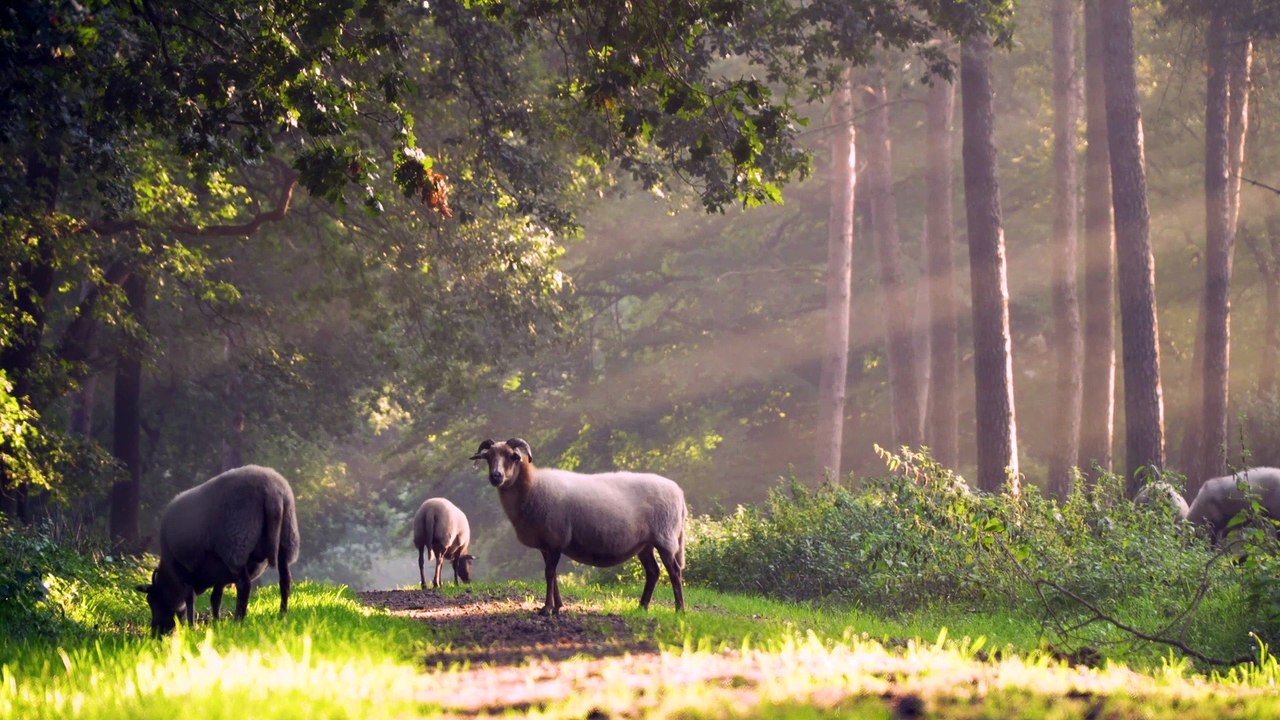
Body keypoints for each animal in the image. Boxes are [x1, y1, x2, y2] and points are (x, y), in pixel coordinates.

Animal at [135, 465, 300, 635]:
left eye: (152, 600)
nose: (156, 633)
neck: (170, 578)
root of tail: (272, 491)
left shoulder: (182, 568)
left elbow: (190, 598)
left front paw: (191, 626)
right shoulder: (220, 572)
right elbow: (215, 598)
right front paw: (215, 623)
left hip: (237, 543)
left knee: (244, 585)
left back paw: (238, 621)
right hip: (287, 538)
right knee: (285, 580)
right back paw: (282, 615)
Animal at [469, 438, 686, 616]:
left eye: (512, 456)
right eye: (488, 457)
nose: (496, 476)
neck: (531, 486)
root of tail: (679, 492)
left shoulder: (555, 539)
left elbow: (549, 574)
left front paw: (547, 609)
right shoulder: (546, 544)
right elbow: (552, 575)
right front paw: (557, 607)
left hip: (665, 538)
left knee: (674, 572)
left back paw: (680, 610)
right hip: (645, 544)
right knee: (653, 572)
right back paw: (641, 607)